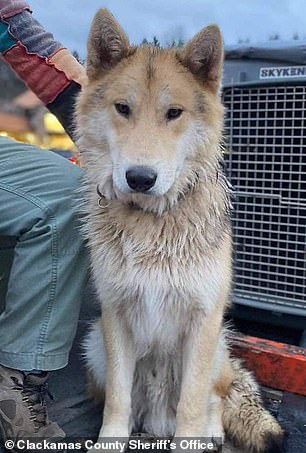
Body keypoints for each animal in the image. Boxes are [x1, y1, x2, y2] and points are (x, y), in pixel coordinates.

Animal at [75, 8, 284, 450]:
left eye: (174, 113)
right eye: (123, 108)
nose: (139, 178)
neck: (152, 221)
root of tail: (157, 420)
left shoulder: (202, 324)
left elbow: (193, 403)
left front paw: (194, 438)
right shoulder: (115, 319)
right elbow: (117, 401)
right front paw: (110, 441)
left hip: (220, 350)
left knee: (216, 401)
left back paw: (211, 434)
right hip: (94, 347)